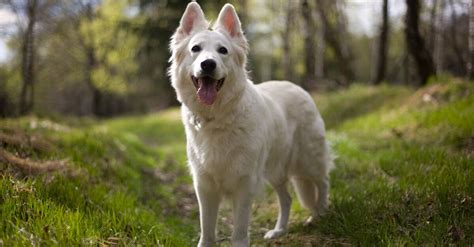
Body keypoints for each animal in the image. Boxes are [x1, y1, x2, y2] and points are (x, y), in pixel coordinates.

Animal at [170, 2, 334, 246]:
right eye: (195, 49)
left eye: (223, 51)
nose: (208, 64)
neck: (216, 118)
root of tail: (297, 86)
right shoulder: (204, 186)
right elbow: (206, 230)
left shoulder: (244, 184)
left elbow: (239, 231)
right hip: (274, 170)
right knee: (286, 199)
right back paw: (279, 230)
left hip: (307, 160)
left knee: (322, 181)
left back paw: (319, 214)